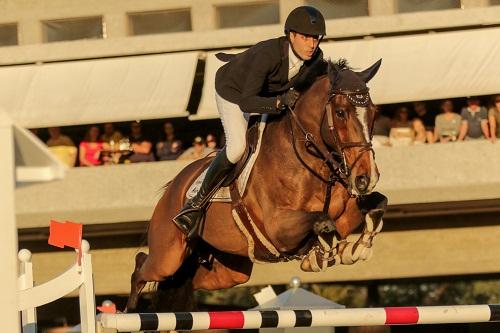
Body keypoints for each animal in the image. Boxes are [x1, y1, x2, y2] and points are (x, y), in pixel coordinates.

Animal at [124, 57, 386, 312]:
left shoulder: (344, 214)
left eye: (374, 112)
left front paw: (354, 248)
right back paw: (130, 310)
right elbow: (322, 221)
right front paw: (322, 254)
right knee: (142, 269)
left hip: (227, 269)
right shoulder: (277, 228)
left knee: (183, 280)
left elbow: (377, 204)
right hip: (168, 255)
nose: (366, 178)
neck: (310, 161)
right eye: (341, 113)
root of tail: (173, 188)